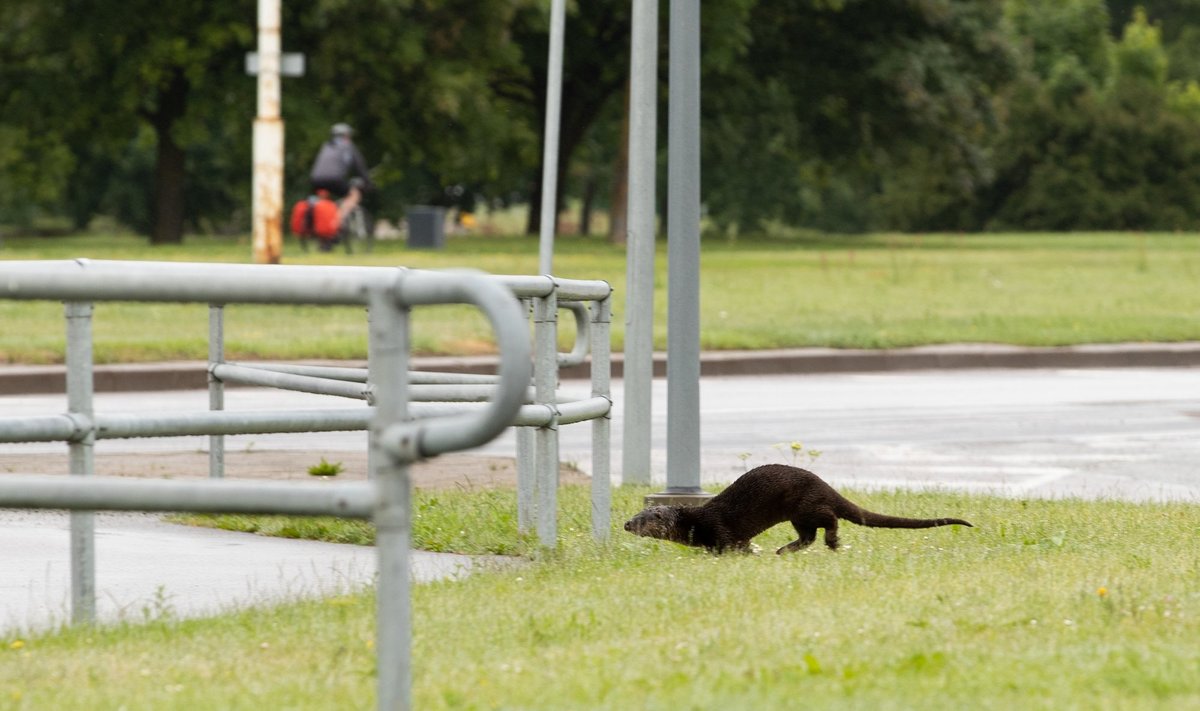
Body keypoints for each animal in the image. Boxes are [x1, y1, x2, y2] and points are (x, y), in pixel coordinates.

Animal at [624, 463, 969, 557]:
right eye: (631, 518)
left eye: (640, 520)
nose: (626, 525)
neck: (695, 522)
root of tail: (823, 483)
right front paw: (754, 551)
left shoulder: (719, 530)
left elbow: (730, 546)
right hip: (798, 515)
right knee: (808, 536)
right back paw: (783, 550)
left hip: (806, 506)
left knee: (828, 520)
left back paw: (832, 543)